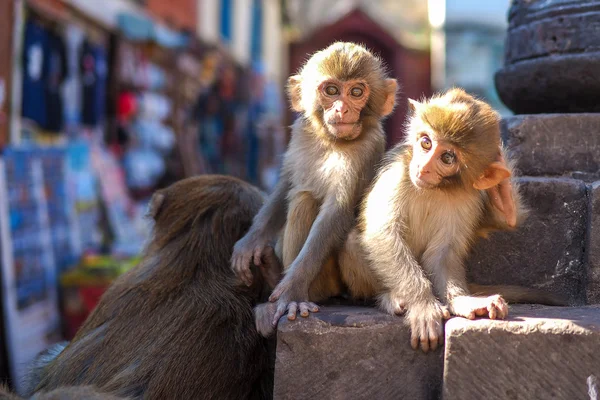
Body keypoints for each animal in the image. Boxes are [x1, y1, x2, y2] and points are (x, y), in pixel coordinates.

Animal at [231, 41, 398, 324]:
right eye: (331, 90)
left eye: (356, 92)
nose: (341, 109)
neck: (331, 141)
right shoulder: (300, 132)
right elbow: (287, 184)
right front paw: (250, 242)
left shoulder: (368, 147)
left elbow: (336, 212)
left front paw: (293, 291)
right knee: (301, 195)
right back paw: (272, 270)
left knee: (306, 201)